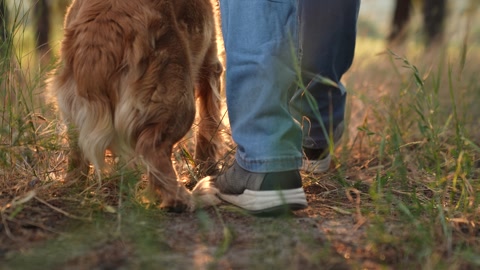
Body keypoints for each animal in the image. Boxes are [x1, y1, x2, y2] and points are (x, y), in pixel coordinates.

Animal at [47, 0, 223, 211]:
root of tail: (101, 29)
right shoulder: (211, 65)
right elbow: (210, 124)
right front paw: (208, 167)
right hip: (178, 98)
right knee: (152, 150)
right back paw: (188, 199)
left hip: (71, 113)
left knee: (76, 158)